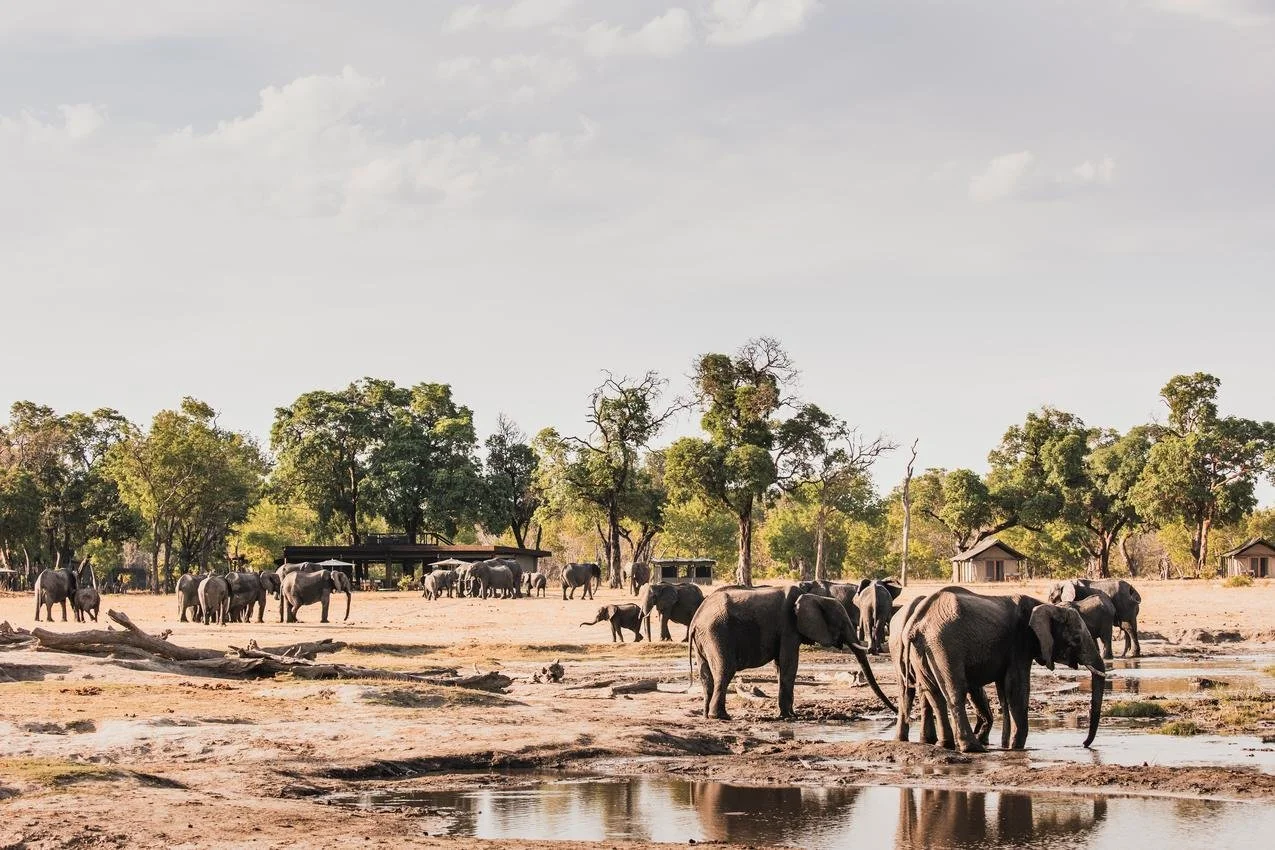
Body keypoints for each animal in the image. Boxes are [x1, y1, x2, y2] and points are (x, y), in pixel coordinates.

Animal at [688, 585, 896, 720]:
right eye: (841, 623)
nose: (895, 712)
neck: (813, 597)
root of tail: (696, 620)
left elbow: (781, 665)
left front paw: (787, 714)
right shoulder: (788, 626)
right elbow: (789, 664)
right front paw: (790, 716)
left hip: (705, 638)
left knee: (706, 676)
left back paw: (706, 715)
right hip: (717, 633)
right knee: (725, 671)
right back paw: (721, 717)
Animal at [895, 585, 1106, 753]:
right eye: (1076, 639)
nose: (1084, 744)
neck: (1046, 606)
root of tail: (916, 622)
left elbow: (1004, 693)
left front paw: (1006, 745)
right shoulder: (1020, 643)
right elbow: (1017, 689)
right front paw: (1017, 747)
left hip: (923, 649)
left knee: (933, 694)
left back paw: (945, 745)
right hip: (945, 646)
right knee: (955, 692)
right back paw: (973, 748)